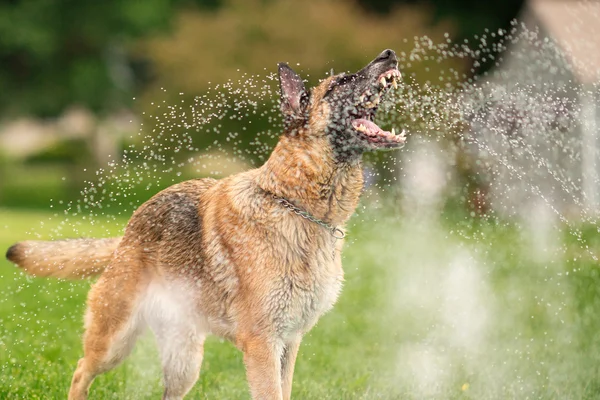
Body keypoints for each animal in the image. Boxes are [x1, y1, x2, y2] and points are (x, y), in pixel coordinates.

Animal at [5, 50, 404, 400]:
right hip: (114, 342)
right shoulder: (262, 345)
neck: (295, 206)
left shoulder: (289, 343)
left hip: (185, 362)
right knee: (80, 371)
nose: (389, 54)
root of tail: (127, 235)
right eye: (342, 81)